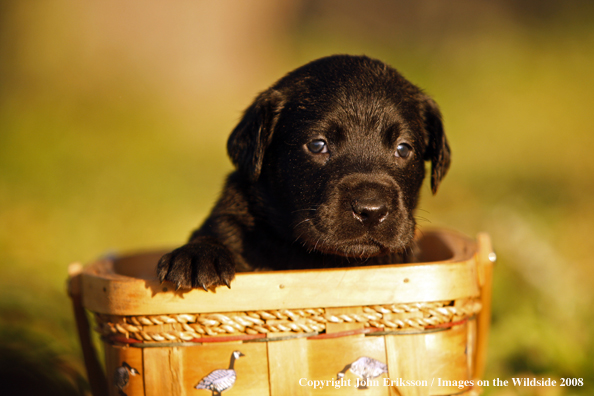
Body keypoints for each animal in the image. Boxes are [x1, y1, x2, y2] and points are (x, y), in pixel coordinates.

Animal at [157, 55, 448, 290]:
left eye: (403, 148)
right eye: (318, 145)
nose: (371, 210)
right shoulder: (230, 220)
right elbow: (214, 233)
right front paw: (198, 255)